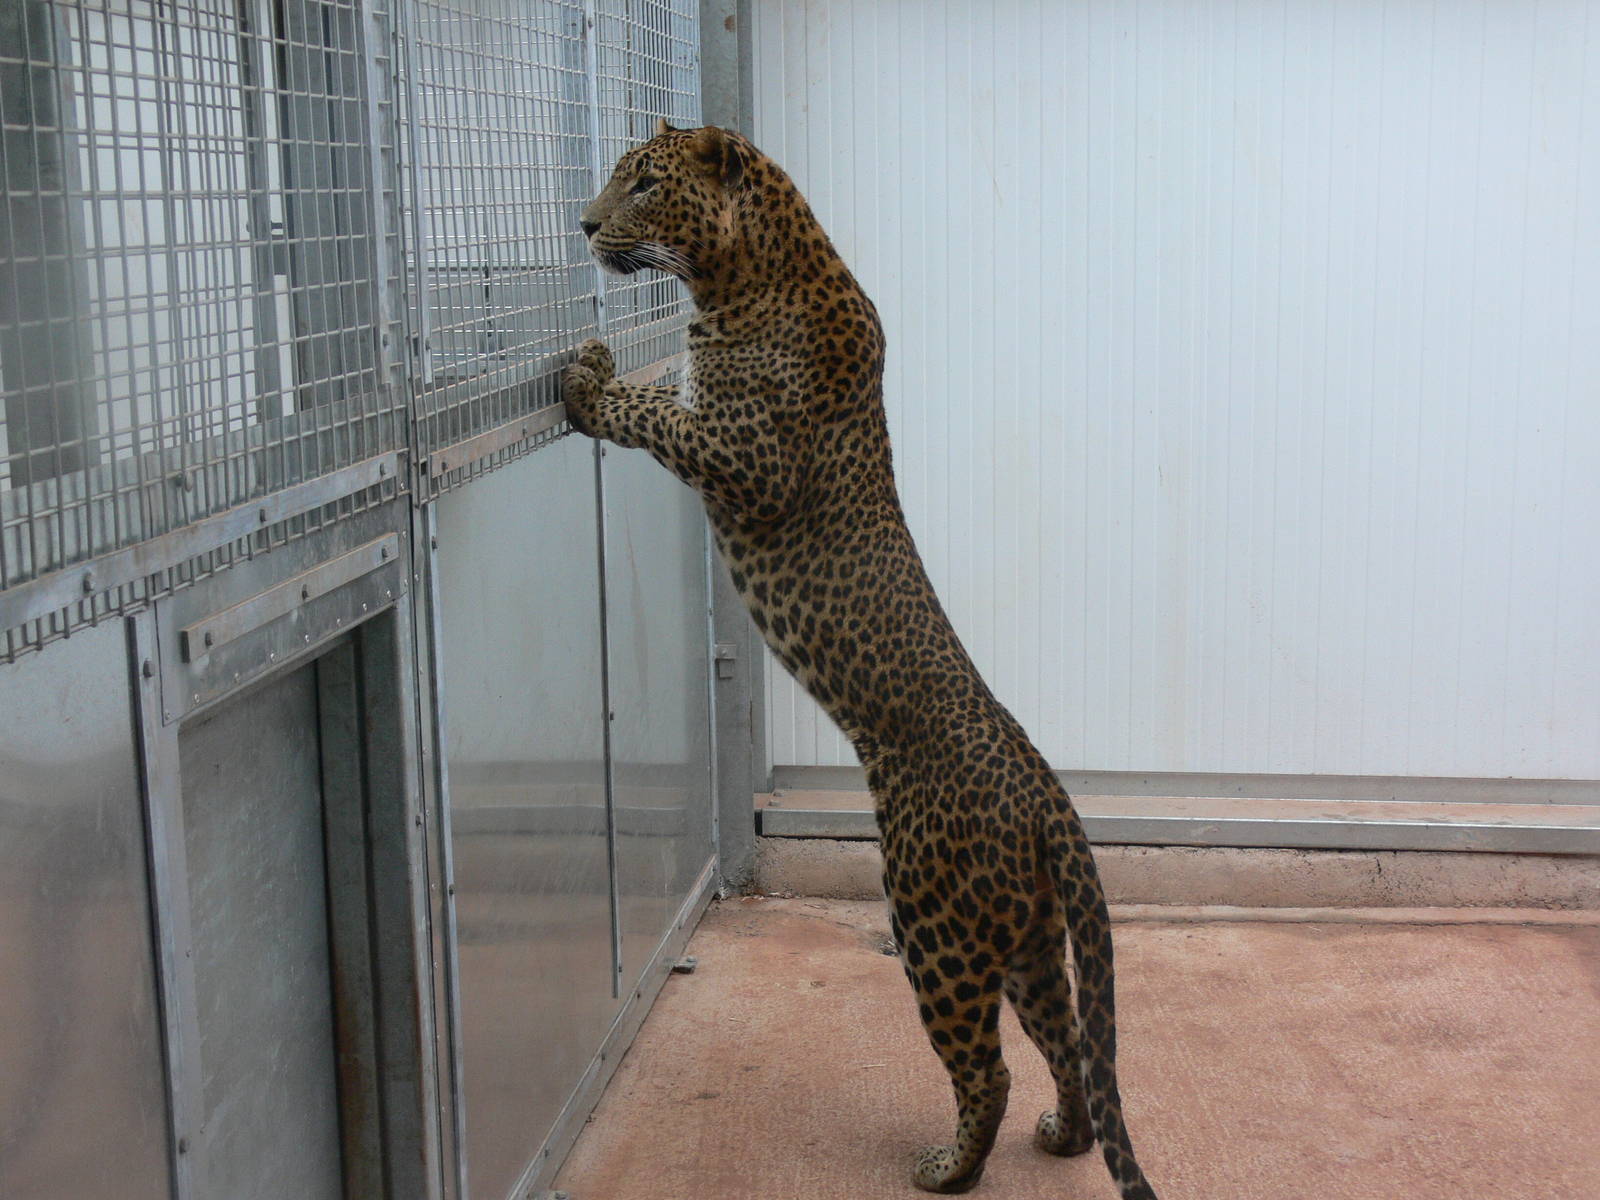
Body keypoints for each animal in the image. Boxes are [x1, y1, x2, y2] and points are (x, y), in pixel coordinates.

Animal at [563, 120, 1159, 1199]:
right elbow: (661, 394)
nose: (585, 224)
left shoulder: (741, 456)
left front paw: (588, 385)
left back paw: (949, 1168)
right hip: (1026, 937)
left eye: (644, 183)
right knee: (1065, 1044)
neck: (738, 273)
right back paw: (1060, 1135)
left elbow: (651, 415)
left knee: (987, 1065)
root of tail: (1046, 792)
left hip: (934, 921)